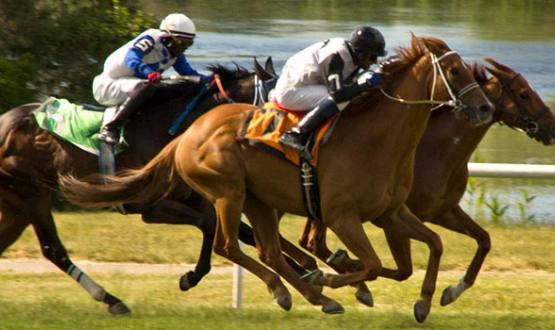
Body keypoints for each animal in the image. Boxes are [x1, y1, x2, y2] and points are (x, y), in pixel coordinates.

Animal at [59, 34, 496, 320]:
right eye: (455, 70)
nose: (485, 108)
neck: (378, 138)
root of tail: (189, 133)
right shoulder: (342, 217)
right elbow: (370, 264)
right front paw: (334, 277)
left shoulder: (391, 212)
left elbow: (435, 244)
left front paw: (428, 300)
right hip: (228, 193)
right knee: (228, 245)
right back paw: (299, 291)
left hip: (259, 200)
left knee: (267, 250)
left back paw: (311, 296)